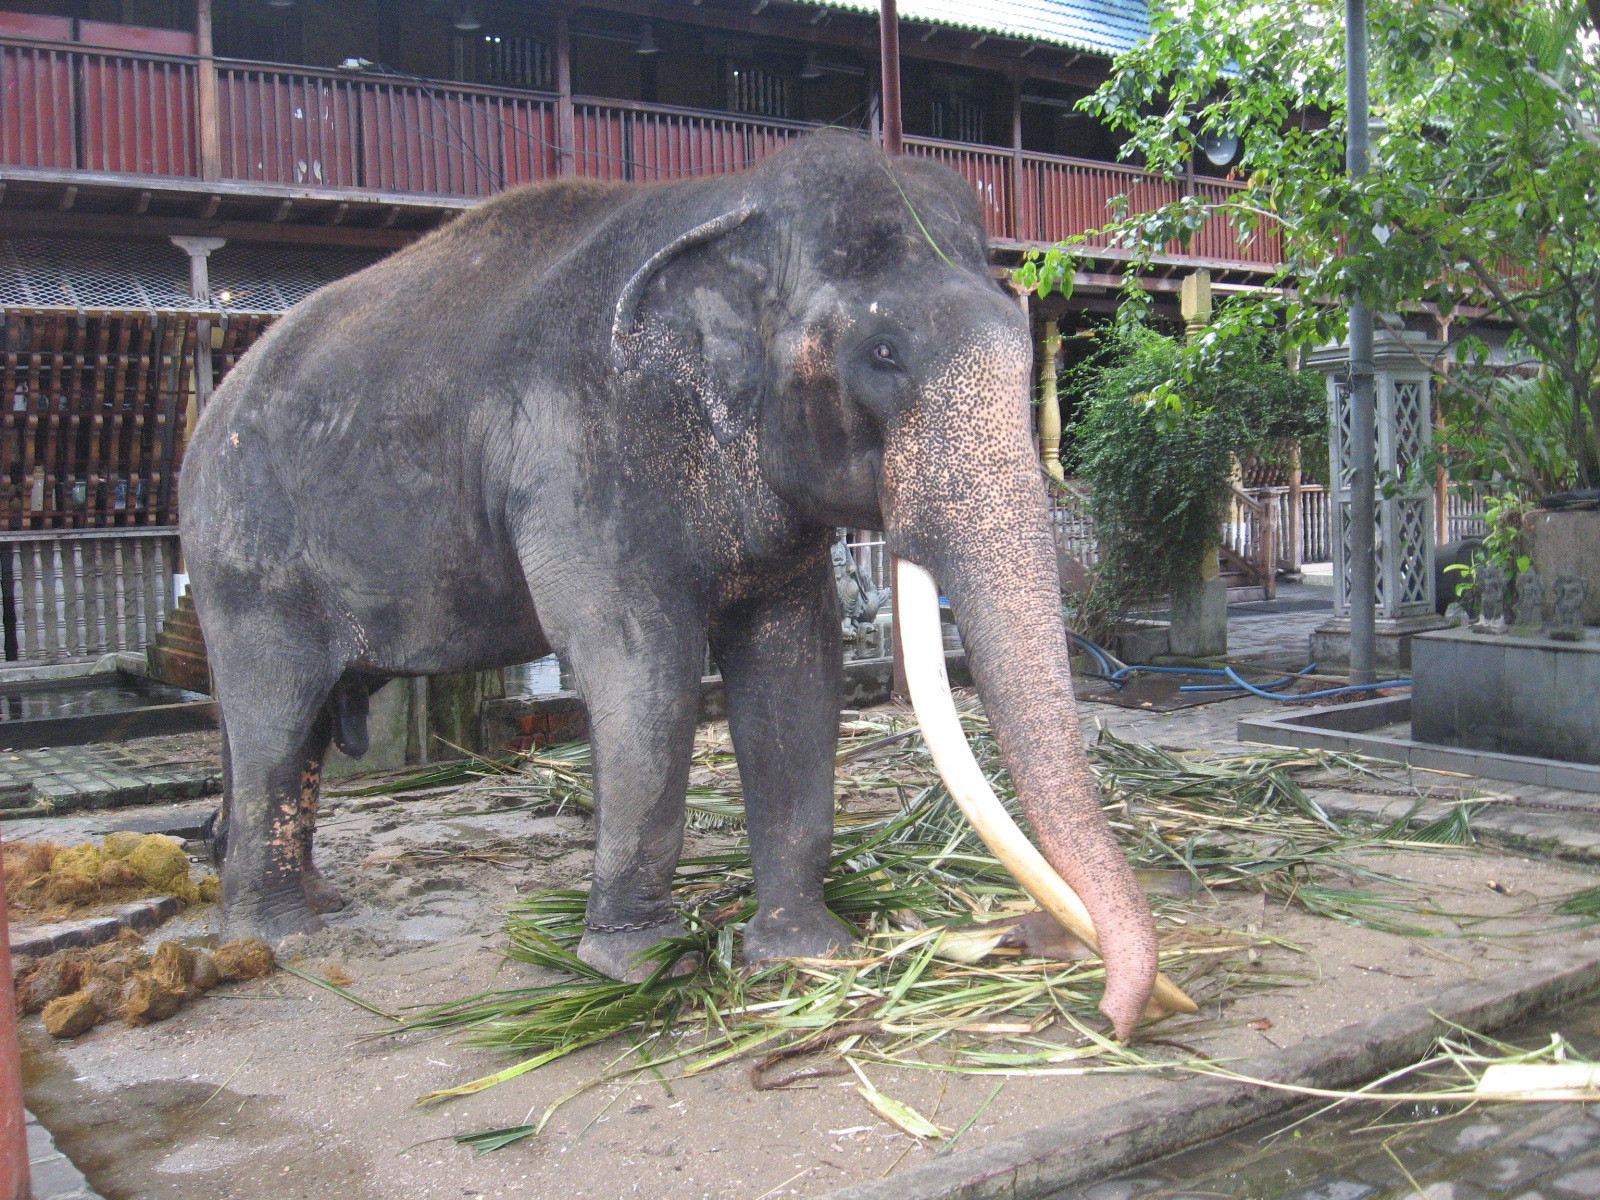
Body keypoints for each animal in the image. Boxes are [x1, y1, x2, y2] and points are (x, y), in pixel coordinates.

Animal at [181, 129, 1164, 1036]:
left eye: (1025, 344)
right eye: (883, 352)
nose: (1106, 1006)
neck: (731, 202)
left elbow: (795, 663)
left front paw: (806, 952)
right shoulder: (582, 452)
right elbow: (640, 666)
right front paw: (642, 966)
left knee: (296, 723)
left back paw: (309, 901)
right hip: (241, 551)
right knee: (277, 710)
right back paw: (277, 939)